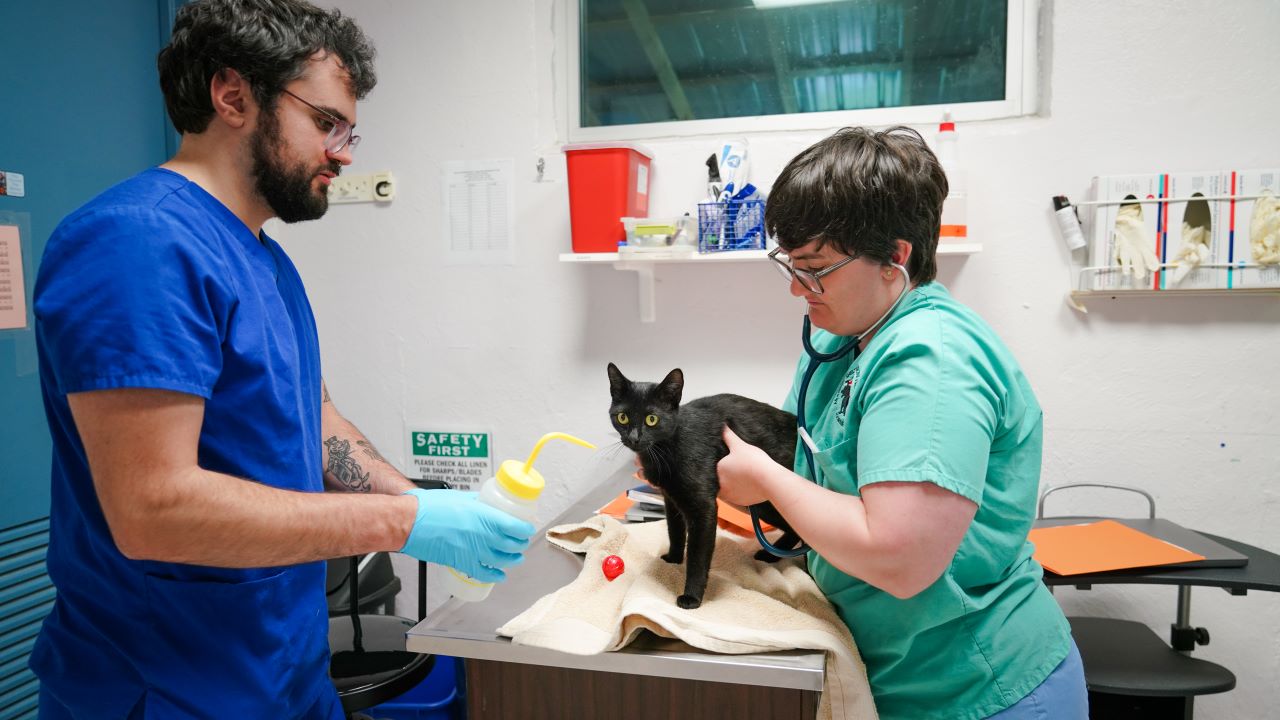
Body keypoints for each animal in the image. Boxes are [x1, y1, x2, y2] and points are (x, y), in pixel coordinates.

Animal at [606, 363, 798, 604]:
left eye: (652, 419)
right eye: (622, 417)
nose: (633, 438)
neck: (665, 449)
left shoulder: (703, 508)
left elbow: (697, 556)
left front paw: (691, 597)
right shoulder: (671, 499)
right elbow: (675, 532)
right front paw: (673, 559)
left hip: (767, 501)